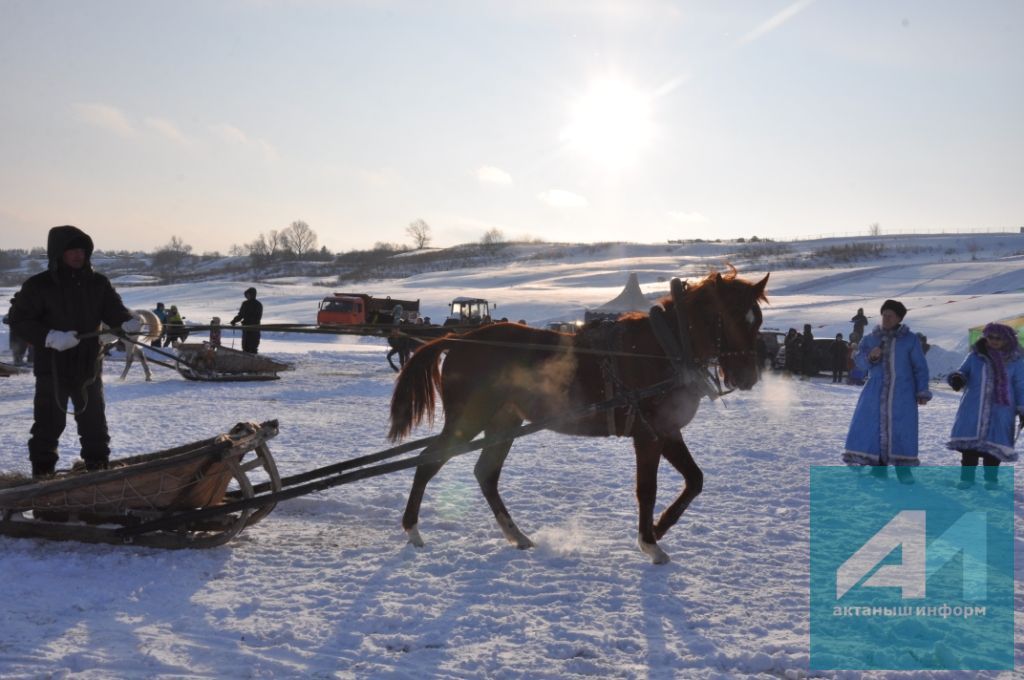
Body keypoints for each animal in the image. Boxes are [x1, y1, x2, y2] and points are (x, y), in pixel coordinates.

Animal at [387, 270, 765, 561]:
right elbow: (647, 489)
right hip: (469, 419)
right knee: (428, 460)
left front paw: (659, 527)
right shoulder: (648, 434)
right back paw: (413, 529)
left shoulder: (666, 430)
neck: (665, 349)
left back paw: (517, 535)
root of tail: (459, 339)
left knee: (485, 474)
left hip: (504, 422)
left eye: (757, 321)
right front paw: (650, 543)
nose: (749, 376)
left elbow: (695, 480)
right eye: (729, 318)